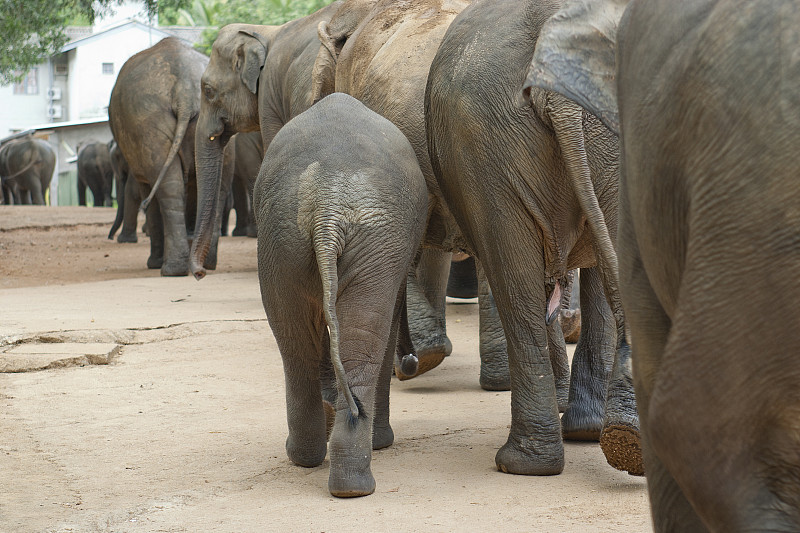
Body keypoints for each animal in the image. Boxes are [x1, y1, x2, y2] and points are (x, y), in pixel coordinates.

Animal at [106, 36, 225, 274]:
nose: (110, 238)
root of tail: (184, 89)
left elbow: (144, 190)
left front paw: (153, 263)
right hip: (207, 115)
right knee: (210, 186)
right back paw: (204, 264)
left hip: (147, 122)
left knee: (168, 188)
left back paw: (171, 270)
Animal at [256, 92, 432, 498]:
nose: (412, 363)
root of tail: (327, 208)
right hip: (357, 237)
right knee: (361, 339)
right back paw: (354, 480)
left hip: (280, 237)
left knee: (293, 341)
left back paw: (312, 461)